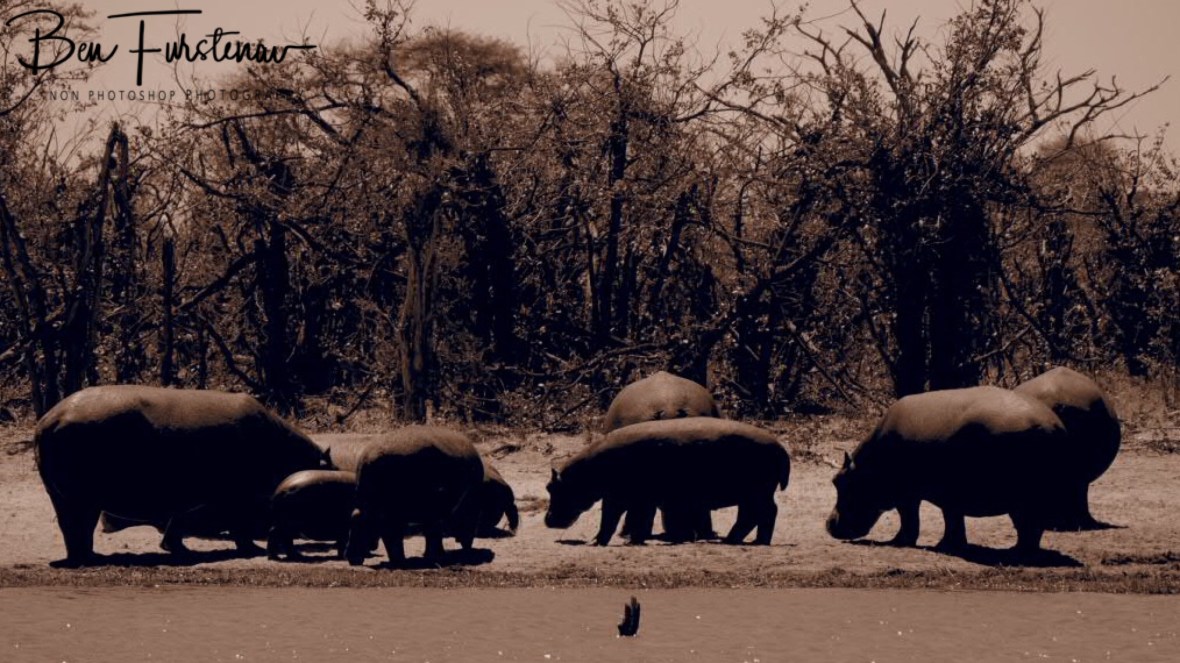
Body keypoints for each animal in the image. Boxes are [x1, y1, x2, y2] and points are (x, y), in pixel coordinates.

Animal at [34, 385, 330, 566]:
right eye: (329, 467)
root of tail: (48, 419)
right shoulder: (237, 497)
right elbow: (238, 525)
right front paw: (251, 550)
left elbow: (178, 521)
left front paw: (177, 549)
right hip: (81, 497)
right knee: (78, 526)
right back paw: (90, 559)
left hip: (62, 496)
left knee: (71, 528)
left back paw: (88, 558)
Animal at [546, 417, 791, 546]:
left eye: (552, 488)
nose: (547, 520)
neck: (585, 474)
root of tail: (780, 446)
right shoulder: (637, 498)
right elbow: (636, 519)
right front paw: (632, 540)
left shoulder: (619, 497)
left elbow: (610, 518)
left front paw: (597, 542)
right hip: (753, 494)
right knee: (756, 515)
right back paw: (741, 540)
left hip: (757, 492)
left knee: (762, 513)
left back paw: (746, 541)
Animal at [826, 386, 1071, 554]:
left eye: (839, 481)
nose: (828, 524)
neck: (870, 465)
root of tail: (1053, 423)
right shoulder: (949, 496)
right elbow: (952, 519)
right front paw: (949, 545)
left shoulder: (907, 495)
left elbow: (910, 519)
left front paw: (897, 542)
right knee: (1031, 528)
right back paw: (1017, 550)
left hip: (1024, 499)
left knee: (1029, 526)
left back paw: (1017, 553)